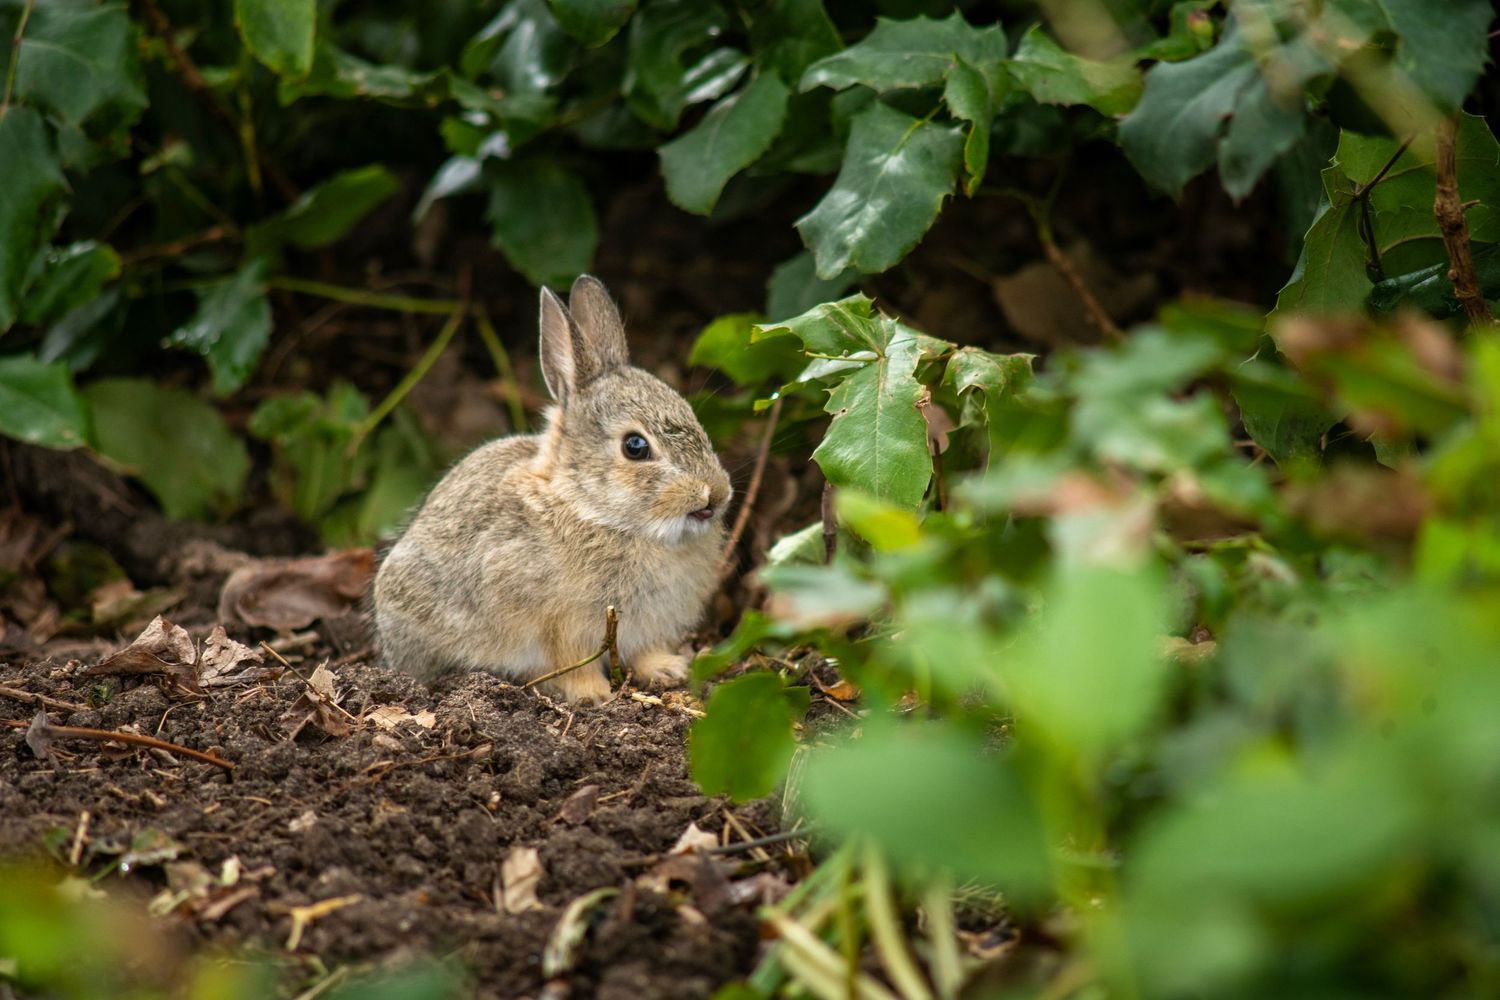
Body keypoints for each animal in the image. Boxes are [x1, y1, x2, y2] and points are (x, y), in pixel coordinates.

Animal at [373, 275, 732, 703]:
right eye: (635, 446)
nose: (716, 494)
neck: (591, 509)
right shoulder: (558, 624)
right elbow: (571, 661)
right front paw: (593, 696)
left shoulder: (649, 623)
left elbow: (645, 652)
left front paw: (667, 670)